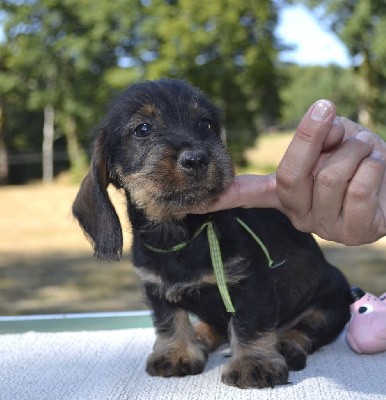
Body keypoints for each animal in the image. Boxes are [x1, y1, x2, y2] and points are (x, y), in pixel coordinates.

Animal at [73, 79, 352, 390]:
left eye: (205, 124)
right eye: (142, 129)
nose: (196, 159)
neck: (183, 235)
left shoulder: (249, 283)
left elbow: (249, 324)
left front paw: (253, 363)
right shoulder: (155, 287)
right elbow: (169, 320)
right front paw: (177, 352)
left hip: (333, 299)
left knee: (307, 328)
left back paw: (286, 344)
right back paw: (201, 336)